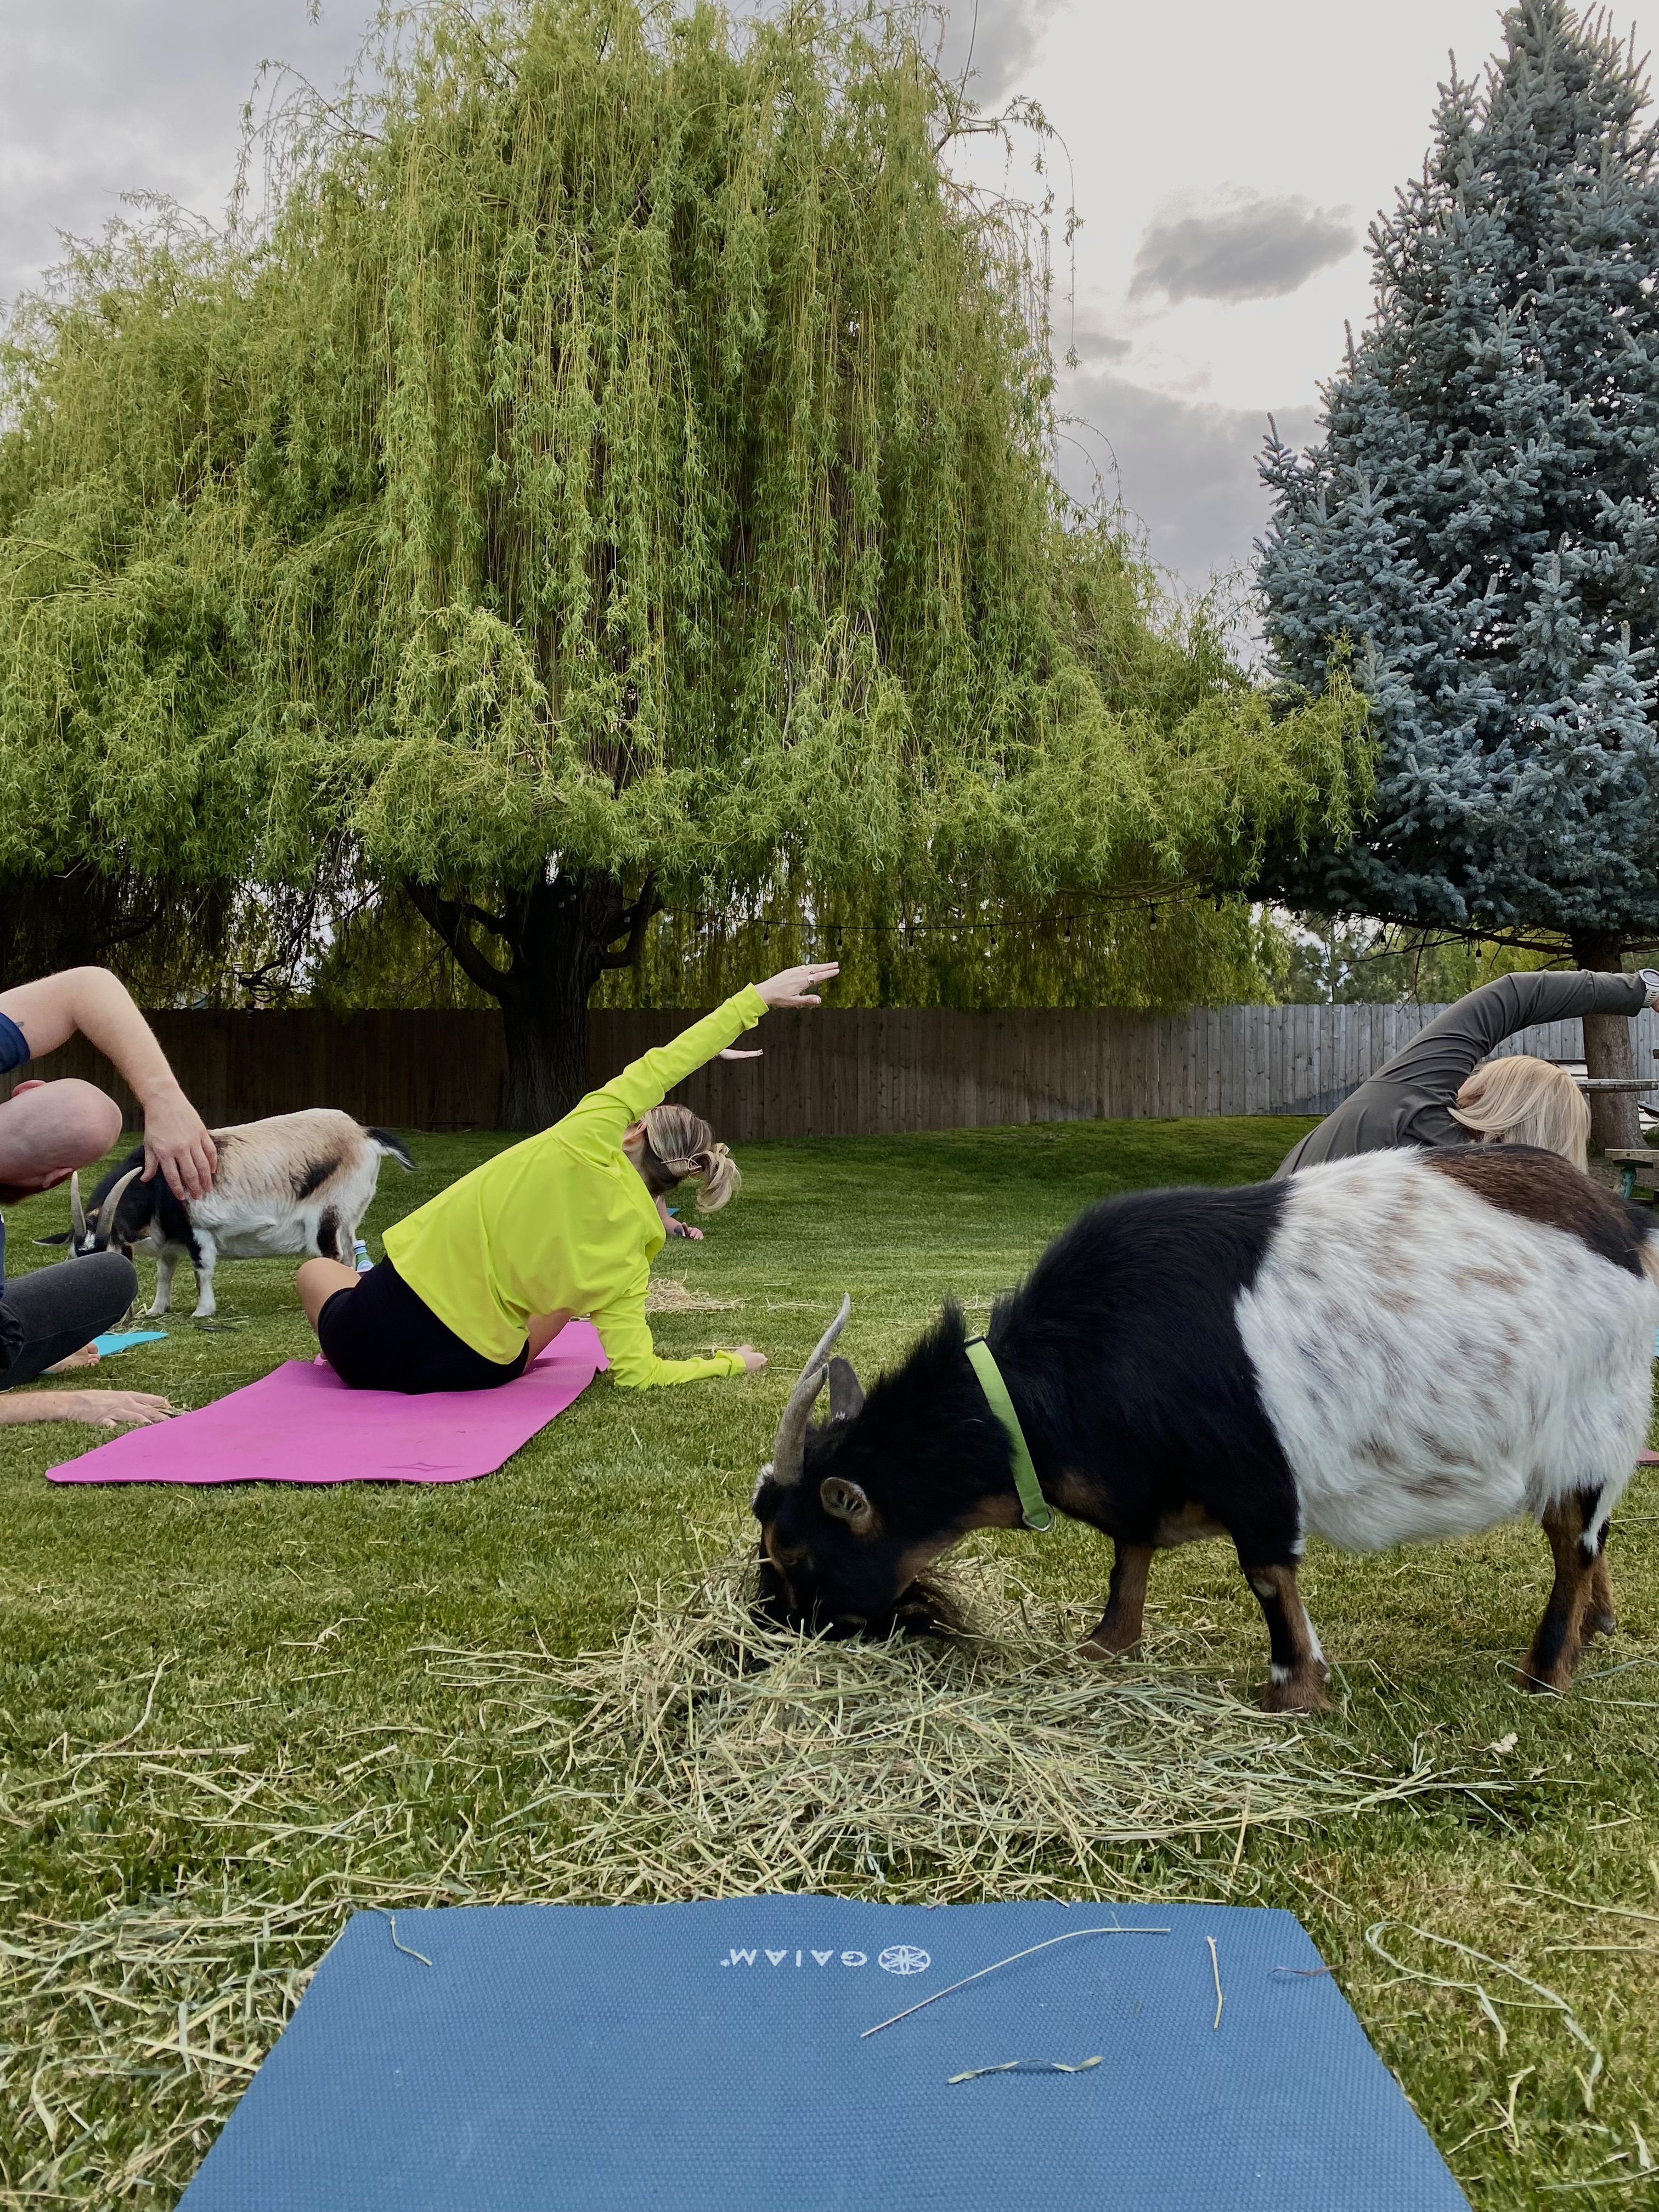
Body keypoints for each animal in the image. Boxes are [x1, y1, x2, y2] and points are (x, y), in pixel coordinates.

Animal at [70, 1106, 413, 1309]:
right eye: (74, 1257)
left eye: (112, 1257)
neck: (159, 1184)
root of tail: (364, 1135)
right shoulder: (170, 1239)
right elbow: (164, 1272)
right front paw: (157, 1310)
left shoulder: (199, 1230)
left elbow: (202, 1270)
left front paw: (202, 1312)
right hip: (349, 1214)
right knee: (350, 1254)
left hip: (329, 1212)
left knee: (334, 1254)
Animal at [756, 1150, 1659, 1699]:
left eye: (794, 1548)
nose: (770, 1634)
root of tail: (1621, 1226)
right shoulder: (1143, 1487)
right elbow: (1128, 1559)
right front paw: (1106, 1648)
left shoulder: (1256, 1477)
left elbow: (1267, 1577)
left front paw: (1294, 1691)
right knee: (1583, 1534)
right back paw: (1597, 1627)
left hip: (1591, 1424)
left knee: (1574, 1542)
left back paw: (1546, 1669)